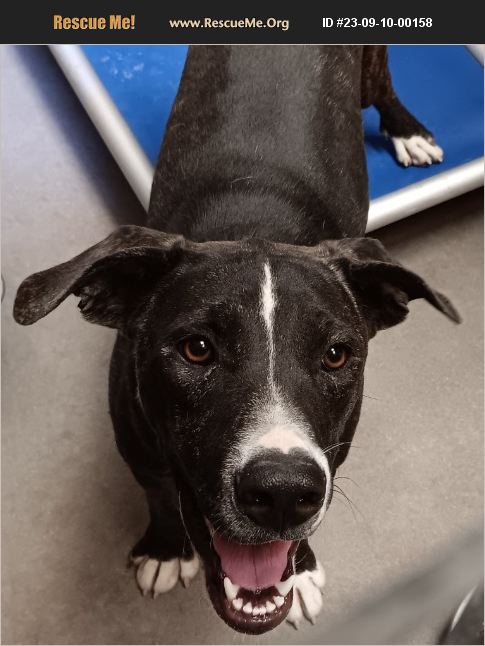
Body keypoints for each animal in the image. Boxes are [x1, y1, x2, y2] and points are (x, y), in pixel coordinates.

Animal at [14, 45, 459, 634]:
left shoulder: (332, 456)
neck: (256, 224)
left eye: (336, 355)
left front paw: (302, 567)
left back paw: (408, 130)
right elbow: (159, 495)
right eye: (196, 348)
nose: (283, 493)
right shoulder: (137, 444)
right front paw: (166, 550)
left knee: (382, 90)